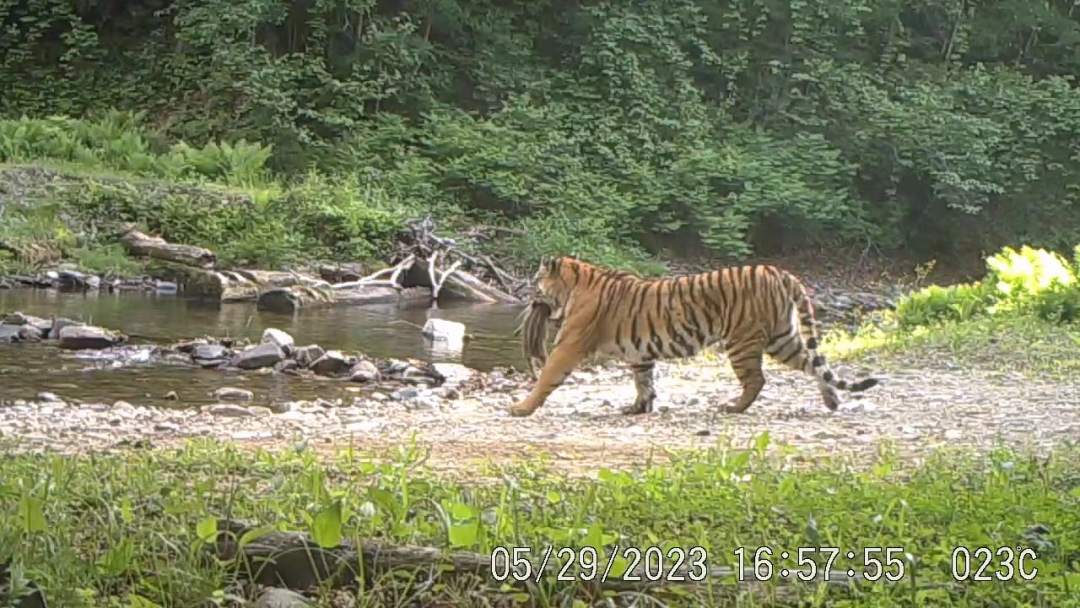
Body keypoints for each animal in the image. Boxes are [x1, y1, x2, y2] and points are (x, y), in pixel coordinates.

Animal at [507, 257, 876, 419]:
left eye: (536, 280)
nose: (526, 295)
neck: (574, 285)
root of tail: (779, 271)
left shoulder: (568, 345)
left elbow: (546, 377)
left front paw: (521, 407)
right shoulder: (640, 354)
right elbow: (643, 381)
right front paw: (638, 408)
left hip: (742, 341)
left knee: (756, 379)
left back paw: (733, 407)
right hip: (781, 338)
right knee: (814, 364)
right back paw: (832, 401)